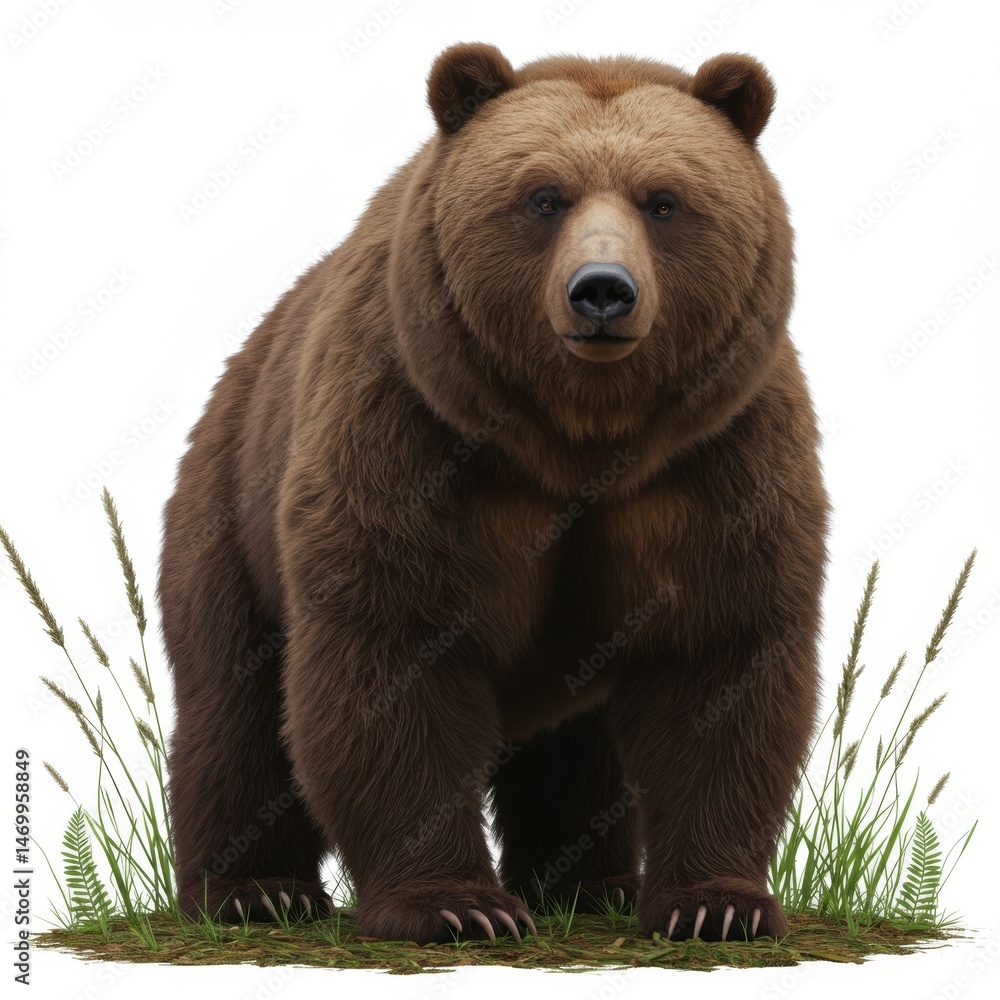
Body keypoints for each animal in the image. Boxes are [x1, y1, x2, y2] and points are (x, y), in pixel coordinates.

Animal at [157, 42, 829, 945]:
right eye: (544, 197)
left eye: (664, 201)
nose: (603, 290)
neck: (579, 442)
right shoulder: (414, 435)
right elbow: (392, 652)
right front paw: (455, 904)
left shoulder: (715, 458)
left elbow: (719, 657)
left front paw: (716, 904)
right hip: (232, 511)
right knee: (237, 713)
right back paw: (255, 891)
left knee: (577, 744)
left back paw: (591, 883)